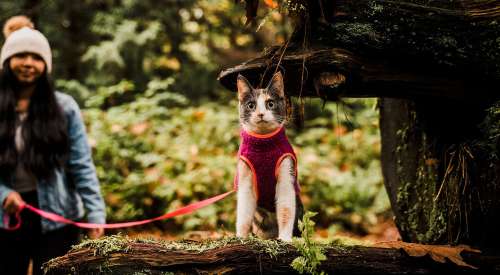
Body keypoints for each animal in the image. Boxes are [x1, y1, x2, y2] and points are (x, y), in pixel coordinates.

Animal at [235, 72, 302, 243]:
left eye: (270, 104)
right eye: (251, 105)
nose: (261, 114)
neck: (263, 143)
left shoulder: (286, 169)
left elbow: (285, 208)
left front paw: (285, 239)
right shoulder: (245, 177)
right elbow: (244, 212)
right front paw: (240, 237)